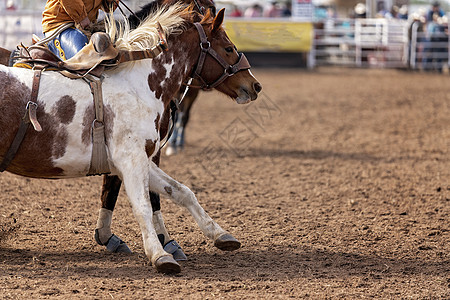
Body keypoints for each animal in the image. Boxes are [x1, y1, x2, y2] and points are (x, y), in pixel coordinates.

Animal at [0, 2, 260, 274]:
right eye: (229, 48)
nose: (255, 86)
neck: (139, 85)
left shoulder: (139, 159)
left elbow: (180, 191)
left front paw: (220, 235)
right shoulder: (131, 160)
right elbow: (143, 204)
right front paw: (160, 253)